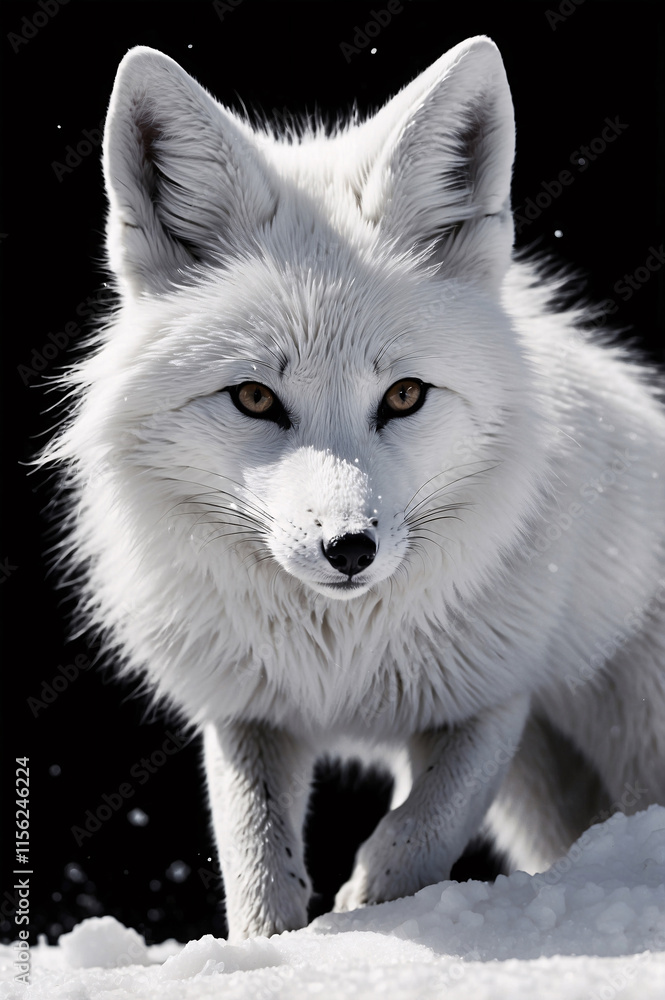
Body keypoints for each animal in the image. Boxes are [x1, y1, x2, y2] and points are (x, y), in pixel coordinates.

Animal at [44, 36, 665, 941]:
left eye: (403, 396)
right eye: (254, 398)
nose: (348, 549)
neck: (340, 660)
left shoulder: (492, 695)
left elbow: (415, 836)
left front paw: (368, 923)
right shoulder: (247, 712)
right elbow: (257, 864)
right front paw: (276, 951)